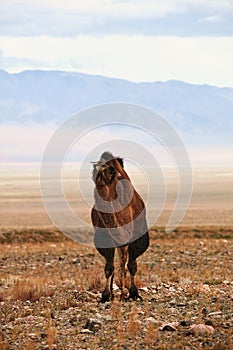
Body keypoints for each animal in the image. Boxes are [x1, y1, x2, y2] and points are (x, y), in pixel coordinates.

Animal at [91, 152, 149, 302]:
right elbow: (109, 267)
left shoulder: (135, 238)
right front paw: (106, 295)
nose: (99, 174)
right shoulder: (105, 238)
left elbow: (130, 265)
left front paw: (132, 293)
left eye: (110, 170)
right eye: (94, 169)